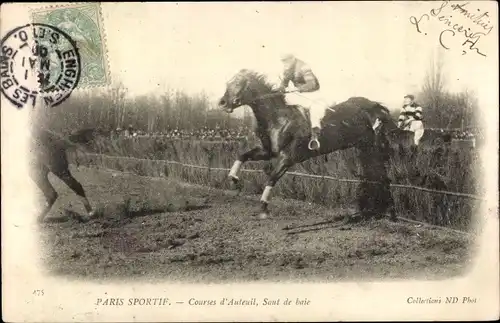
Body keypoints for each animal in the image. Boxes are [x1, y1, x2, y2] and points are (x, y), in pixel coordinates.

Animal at [219, 69, 398, 219]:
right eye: (227, 83)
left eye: (237, 83)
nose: (222, 102)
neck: (279, 119)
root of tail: (372, 105)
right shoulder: (268, 152)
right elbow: (243, 155)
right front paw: (233, 178)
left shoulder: (288, 158)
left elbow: (272, 178)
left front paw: (263, 207)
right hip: (365, 147)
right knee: (377, 176)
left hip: (372, 146)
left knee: (382, 175)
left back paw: (388, 211)